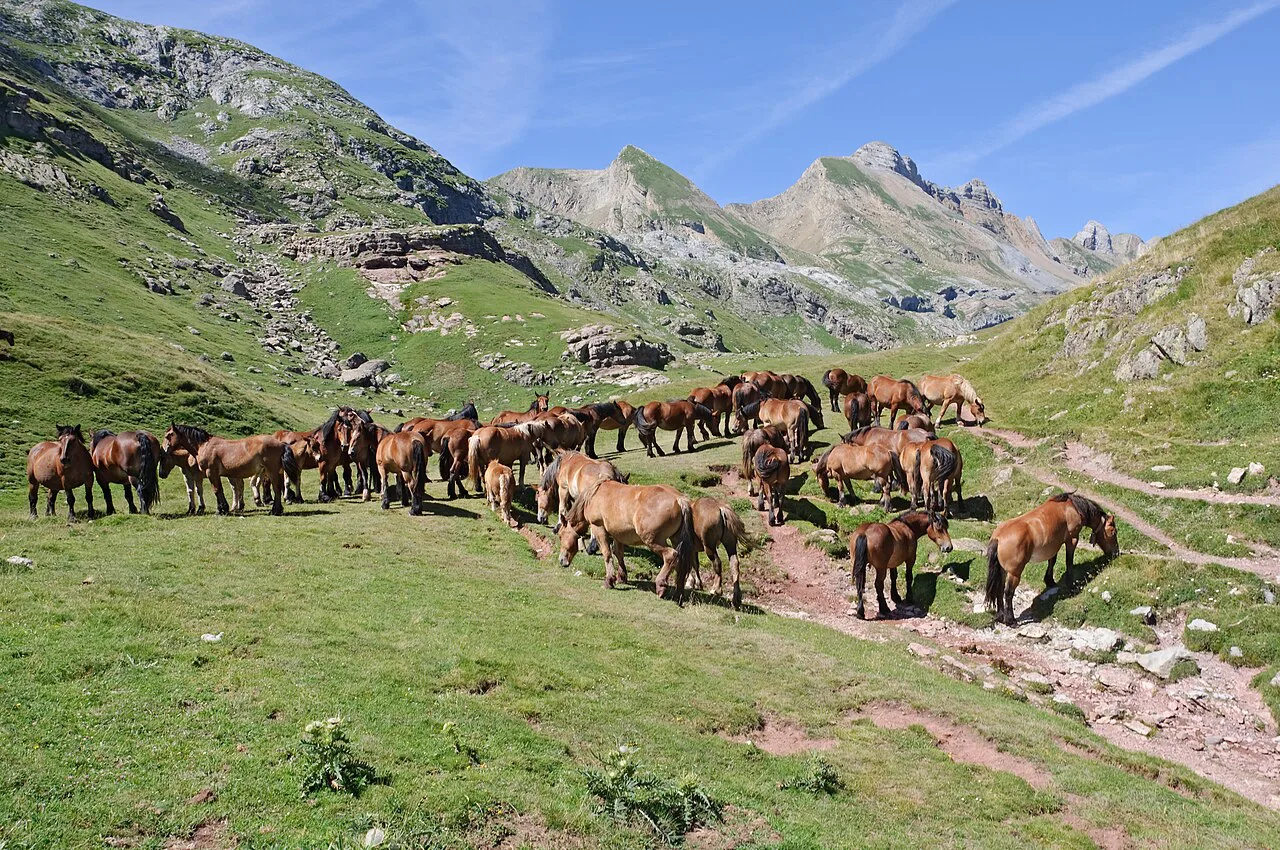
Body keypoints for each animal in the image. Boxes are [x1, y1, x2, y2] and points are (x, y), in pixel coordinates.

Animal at [163, 424, 296, 516]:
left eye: (168, 435)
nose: (164, 450)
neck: (204, 445)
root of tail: (281, 444)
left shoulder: (211, 473)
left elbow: (216, 490)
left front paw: (220, 510)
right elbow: (220, 490)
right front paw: (224, 509)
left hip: (271, 472)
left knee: (277, 489)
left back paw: (275, 510)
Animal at [556, 478, 697, 604]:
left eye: (560, 535)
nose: (561, 560)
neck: (594, 495)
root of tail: (679, 499)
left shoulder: (599, 528)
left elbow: (607, 554)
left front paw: (609, 580)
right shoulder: (617, 534)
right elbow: (618, 553)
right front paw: (621, 576)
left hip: (652, 540)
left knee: (670, 555)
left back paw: (661, 586)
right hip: (676, 539)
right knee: (681, 562)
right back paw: (678, 593)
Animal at [985, 493, 1119, 625]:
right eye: (1113, 532)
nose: (1116, 553)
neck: (1072, 508)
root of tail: (998, 538)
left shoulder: (1053, 544)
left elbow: (1052, 561)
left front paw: (1049, 581)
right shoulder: (1072, 539)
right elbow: (1069, 562)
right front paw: (1070, 584)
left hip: (1002, 570)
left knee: (999, 590)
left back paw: (1001, 615)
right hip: (1014, 573)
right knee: (1008, 593)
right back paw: (1010, 620)